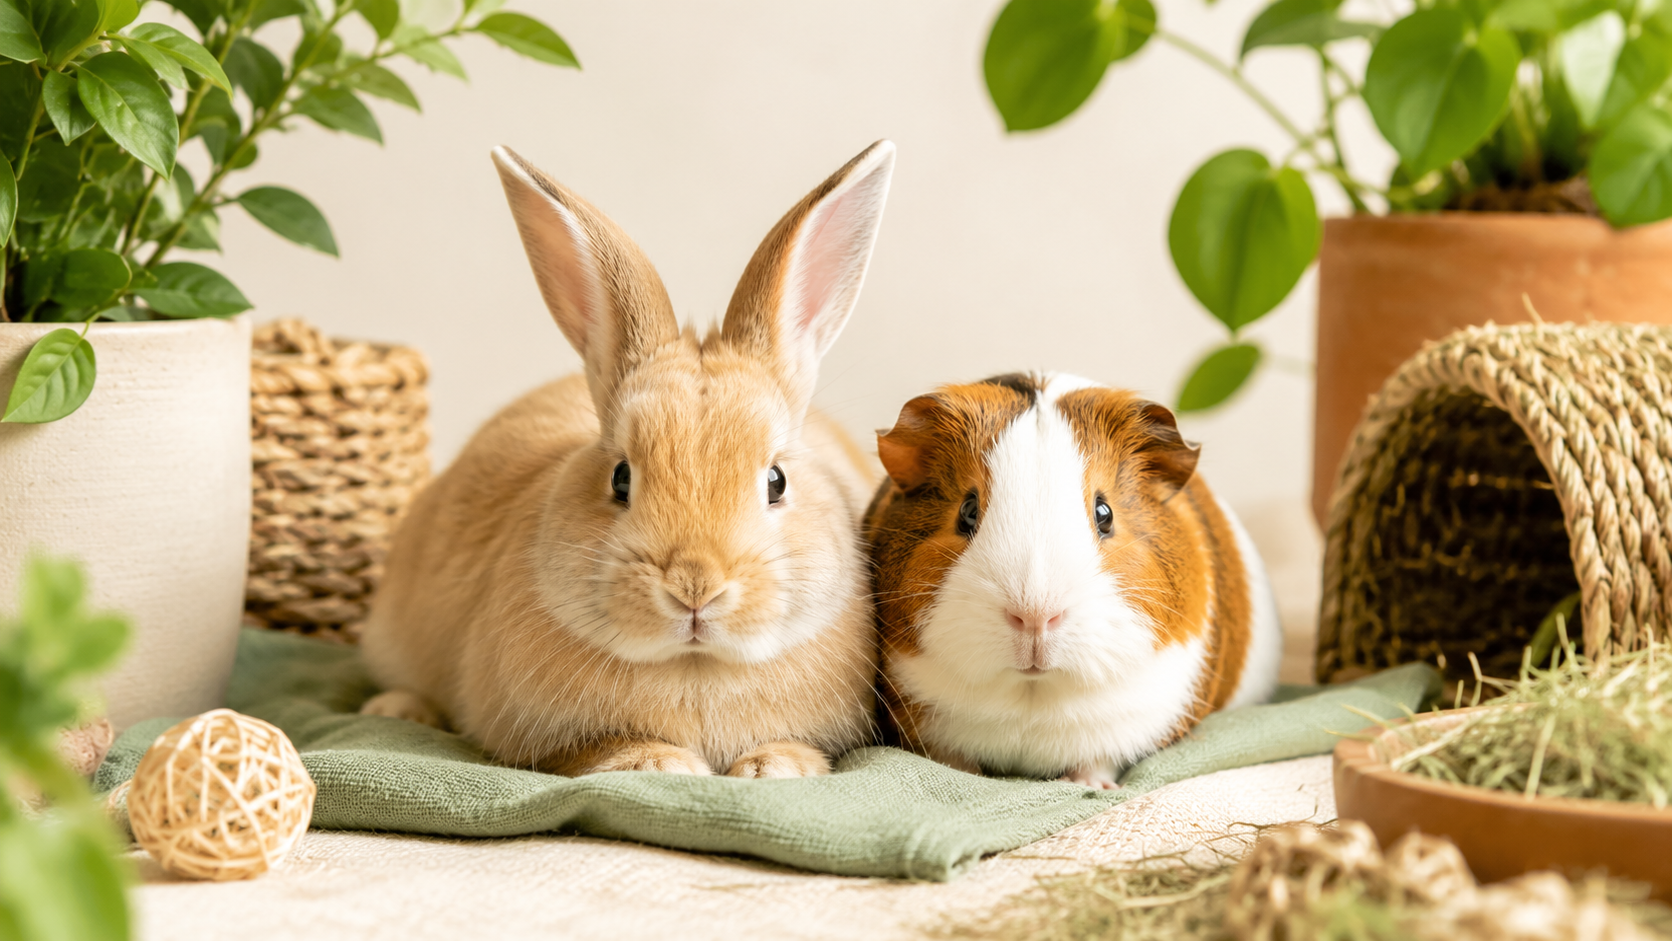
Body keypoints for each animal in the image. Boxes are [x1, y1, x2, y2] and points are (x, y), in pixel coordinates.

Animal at [357, 141, 897, 779]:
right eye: (620, 478)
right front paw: (661, 765)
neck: (696, 665)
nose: (695, 586)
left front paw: (773, 767)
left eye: (776, 481)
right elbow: (594, 751)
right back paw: (396, 708)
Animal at [863, 372, 1281, 788]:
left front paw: (1090, 786)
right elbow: (953, 759)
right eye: (967, 511)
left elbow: (1100, 760)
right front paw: (966, 775)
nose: (1035, 617)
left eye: (1104, 513)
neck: (1032, 693)